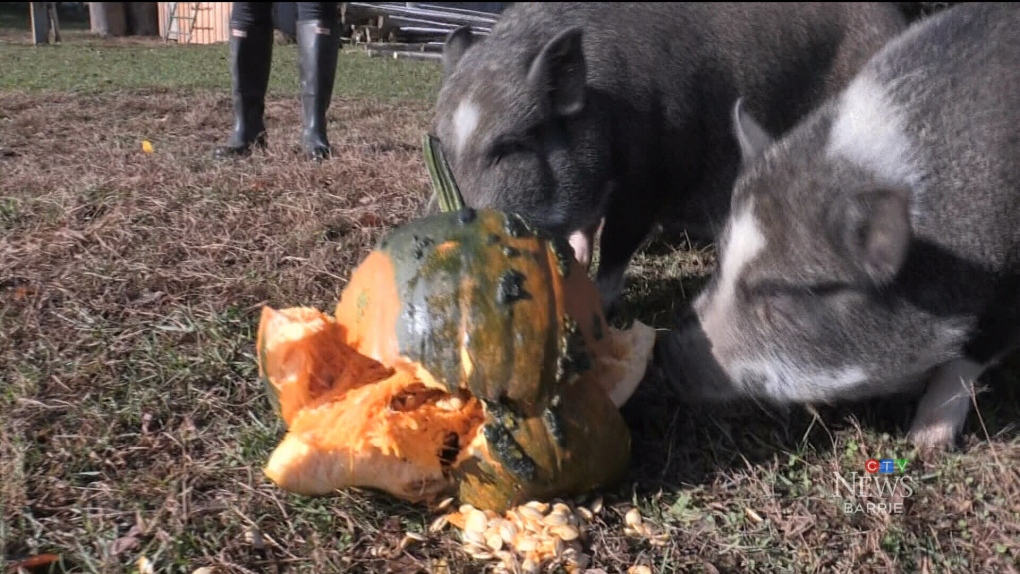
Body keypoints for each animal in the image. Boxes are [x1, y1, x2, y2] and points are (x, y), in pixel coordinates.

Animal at [426, 1, 905, 314]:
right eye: (439, 140)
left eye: (509, 146)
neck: (605, 109)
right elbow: (585, 232)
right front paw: (576, 260)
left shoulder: (648, 182)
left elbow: (617, 248)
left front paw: (602, 307)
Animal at [652, 2, 1020, 450]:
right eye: (720, 264)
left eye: (782, 297)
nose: (665, 350)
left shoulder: (1007, 292)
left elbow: (964, 362)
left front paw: (923, 443)